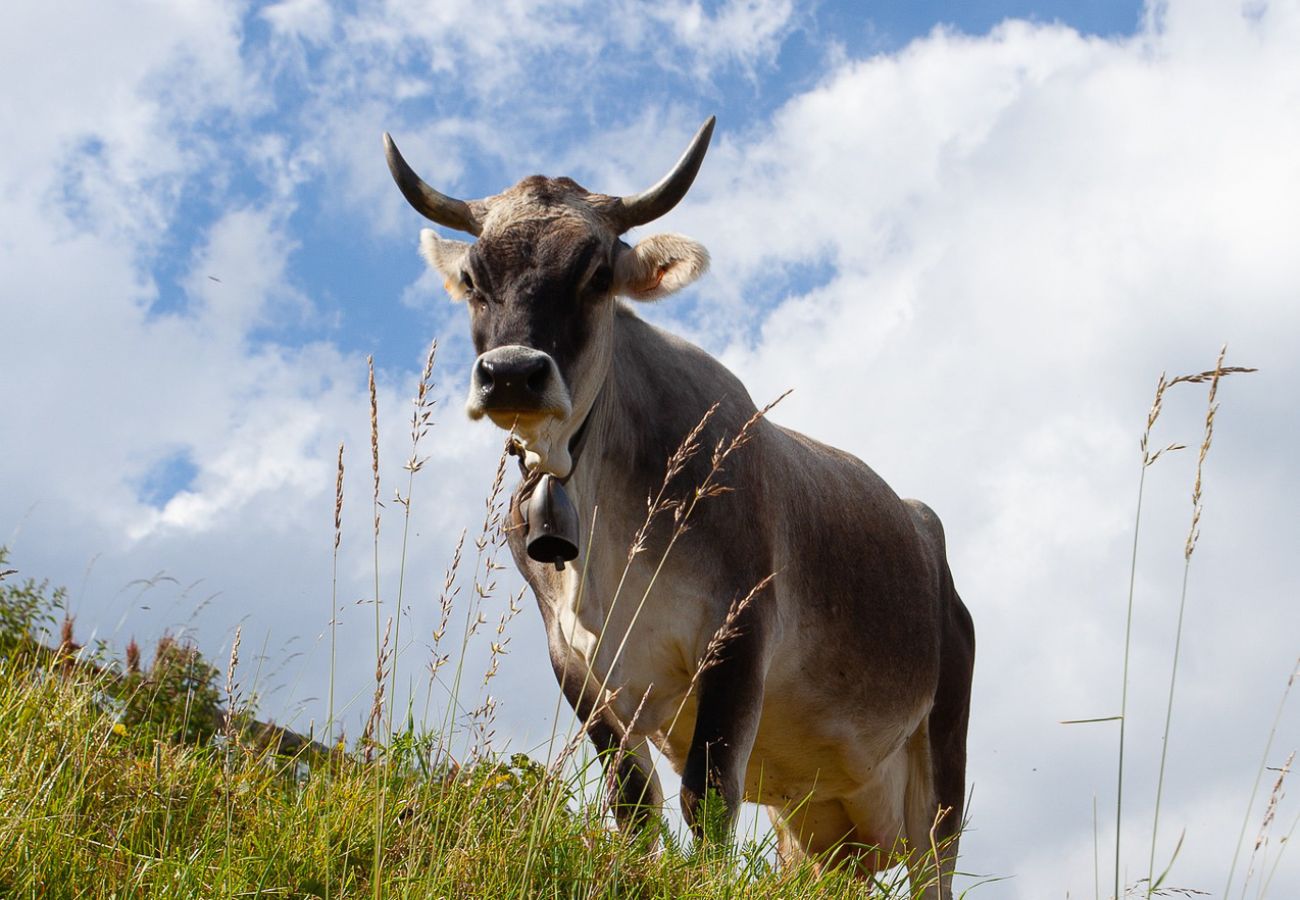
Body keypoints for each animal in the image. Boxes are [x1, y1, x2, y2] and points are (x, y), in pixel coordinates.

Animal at [384, 115, 977, 894]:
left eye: (595, 275)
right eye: (476, 280)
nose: (512, 373)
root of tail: (922, 525)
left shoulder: (738, 633)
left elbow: (709, 795)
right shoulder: (579, 665)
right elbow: (634, 805)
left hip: (939, 765)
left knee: (935, 863)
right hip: (811, 820)